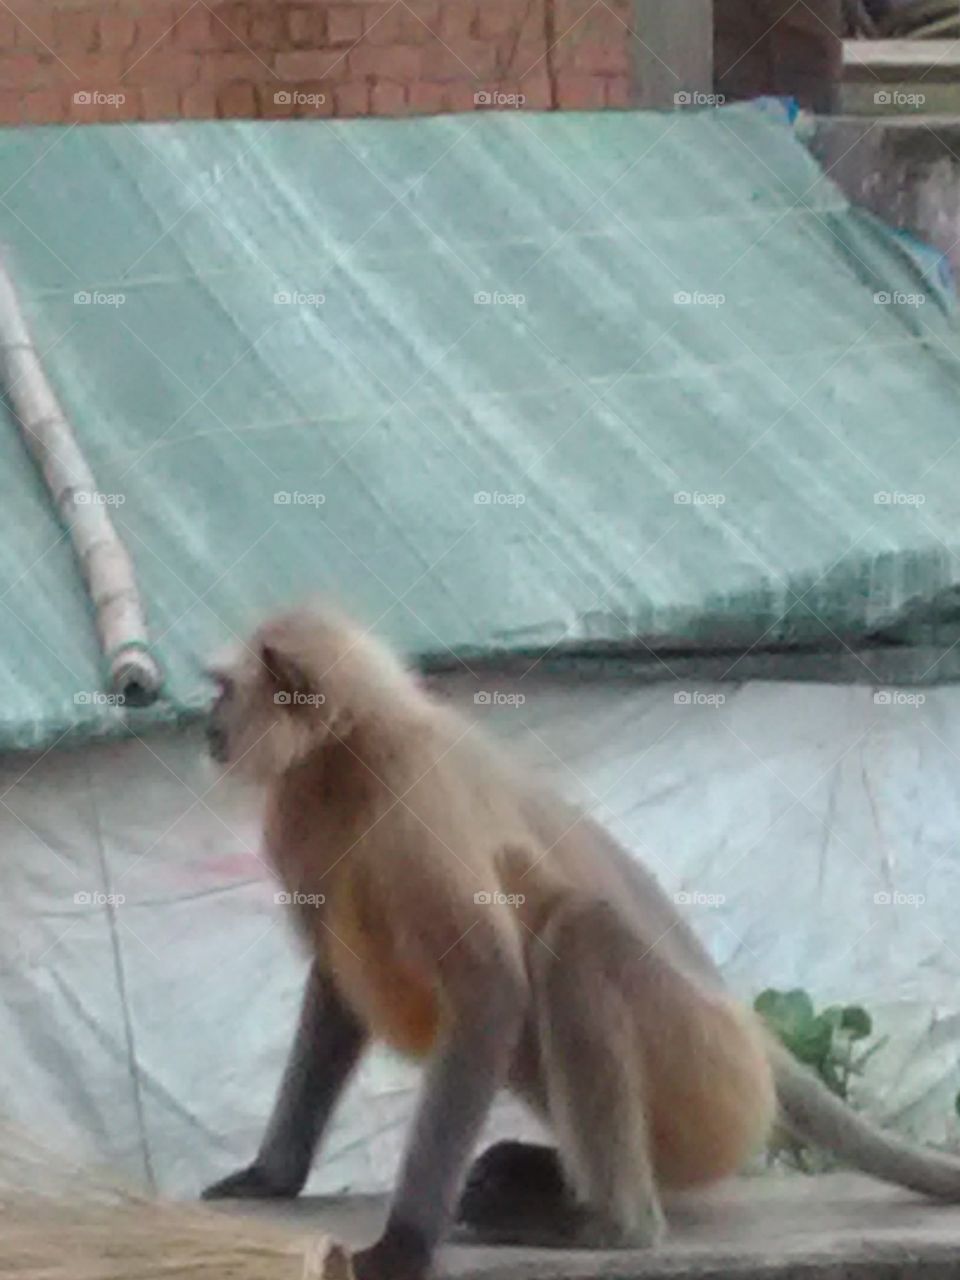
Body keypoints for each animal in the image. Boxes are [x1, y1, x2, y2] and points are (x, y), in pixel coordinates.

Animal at [200, 603, 960, 1279]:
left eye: (224, 691)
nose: (210, 726)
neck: (348, 752)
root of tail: (753, 1035)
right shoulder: (300, 811)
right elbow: (338, 982)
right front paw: (273, 1175)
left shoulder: (411, 790)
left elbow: (489, 986)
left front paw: (404, 1246)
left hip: (714, 1082)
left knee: (577, 936)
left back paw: (614, 1224)